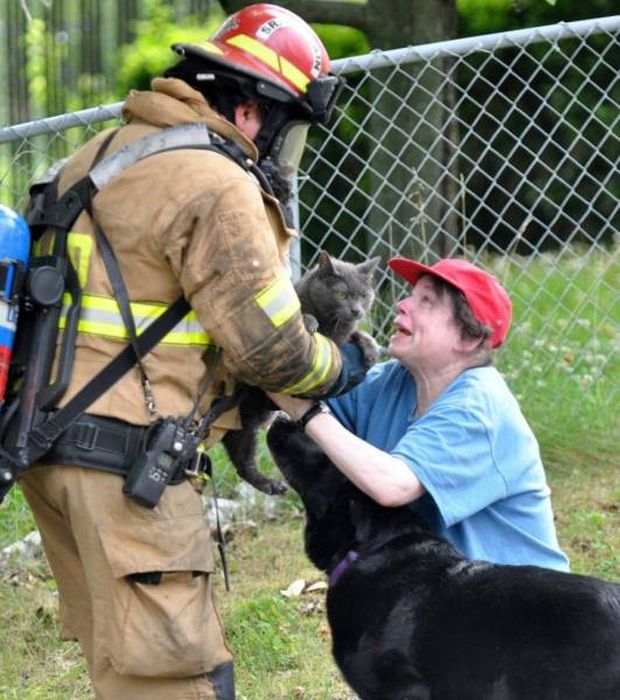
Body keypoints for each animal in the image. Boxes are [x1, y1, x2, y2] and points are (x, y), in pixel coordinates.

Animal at [220, 249, 380, 494]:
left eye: (364, 295)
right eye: (341, 294)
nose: (357, 311)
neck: (331, 323)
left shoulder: (341, 340)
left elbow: (356, 336)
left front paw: (371, 349)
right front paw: (309, 321)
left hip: (245, 422)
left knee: (240, 455)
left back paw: (271, 485)